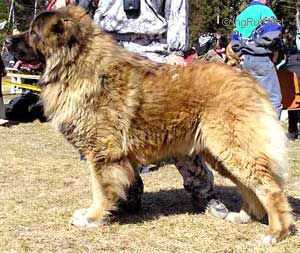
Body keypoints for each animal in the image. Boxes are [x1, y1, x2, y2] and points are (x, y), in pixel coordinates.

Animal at [18, 5, 296, 243]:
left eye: (33, 33)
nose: (10, 42)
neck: (78, 66)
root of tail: (247, 80)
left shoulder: (102, 154)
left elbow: (100, 189)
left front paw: (91, 217)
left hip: (234, 149)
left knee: (270, 189)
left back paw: (276, 233)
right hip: (220, 153)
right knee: (249, 186)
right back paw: (246, 216)